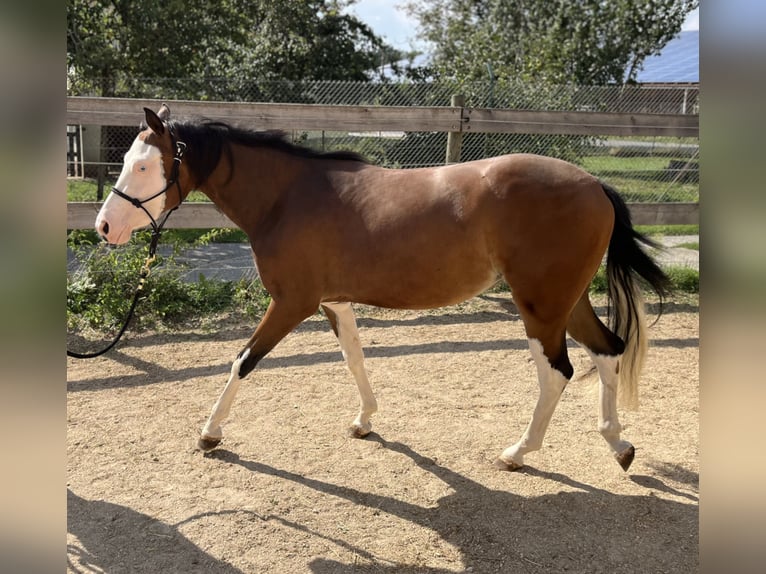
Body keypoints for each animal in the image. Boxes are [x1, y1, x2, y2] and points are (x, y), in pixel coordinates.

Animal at [97, 104, 672, 472]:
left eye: (144, 165)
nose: (105, 228)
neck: (288, 196)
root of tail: (594, 185)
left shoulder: (291, 304)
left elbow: (243, 360)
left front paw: (210, 433)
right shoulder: (334, 302)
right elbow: (354, 358)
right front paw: (364, 421)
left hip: (539, 305)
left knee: (558, 372)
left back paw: (517, 453)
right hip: (566, 300)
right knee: (607, 351)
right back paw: (618, 445)